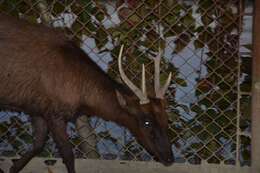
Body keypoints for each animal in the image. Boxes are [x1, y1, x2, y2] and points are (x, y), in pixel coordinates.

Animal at [0, 13, 175, 173]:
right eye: (146, 122)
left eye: (166, 118)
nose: (169, 158)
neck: (82, 98)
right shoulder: (54, 113)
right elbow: (68, 156)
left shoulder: (37, 109)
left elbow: (37, 146)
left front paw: (12, 168)